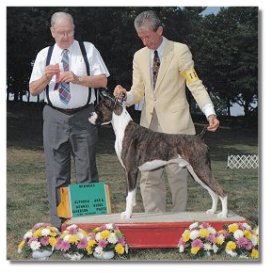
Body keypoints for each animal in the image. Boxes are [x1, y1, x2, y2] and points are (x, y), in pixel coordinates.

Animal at [88, 91, 227, 219]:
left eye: (97, 109)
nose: (89, 115)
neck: (123, 128)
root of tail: (199, 138)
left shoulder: (132, 171)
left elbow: (130, 194)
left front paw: (127, 214)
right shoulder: (126, 171)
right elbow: (128, 194)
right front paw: (128, 211)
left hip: (201, 169)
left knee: (222, 191)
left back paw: (223, 214)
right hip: (196, 173)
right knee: (213, 192)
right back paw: (212, 211)